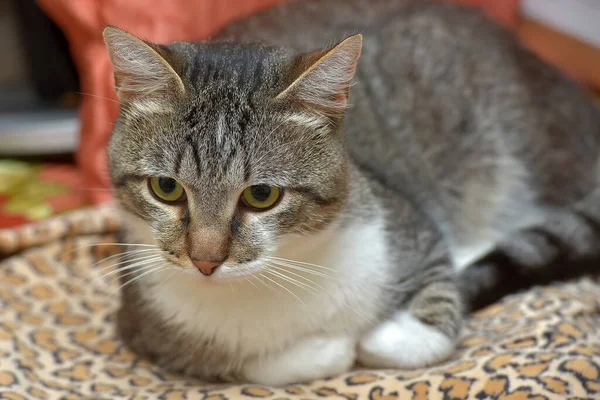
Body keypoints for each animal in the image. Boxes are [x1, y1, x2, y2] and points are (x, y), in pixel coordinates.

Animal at [102, 0, 600, 386]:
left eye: (261, 194)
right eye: (166, 187)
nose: (205, 260)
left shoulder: (413, 230)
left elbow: (440, 305)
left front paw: (385, 336)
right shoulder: (142, 323)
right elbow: (241, 362)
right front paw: (329, 349)